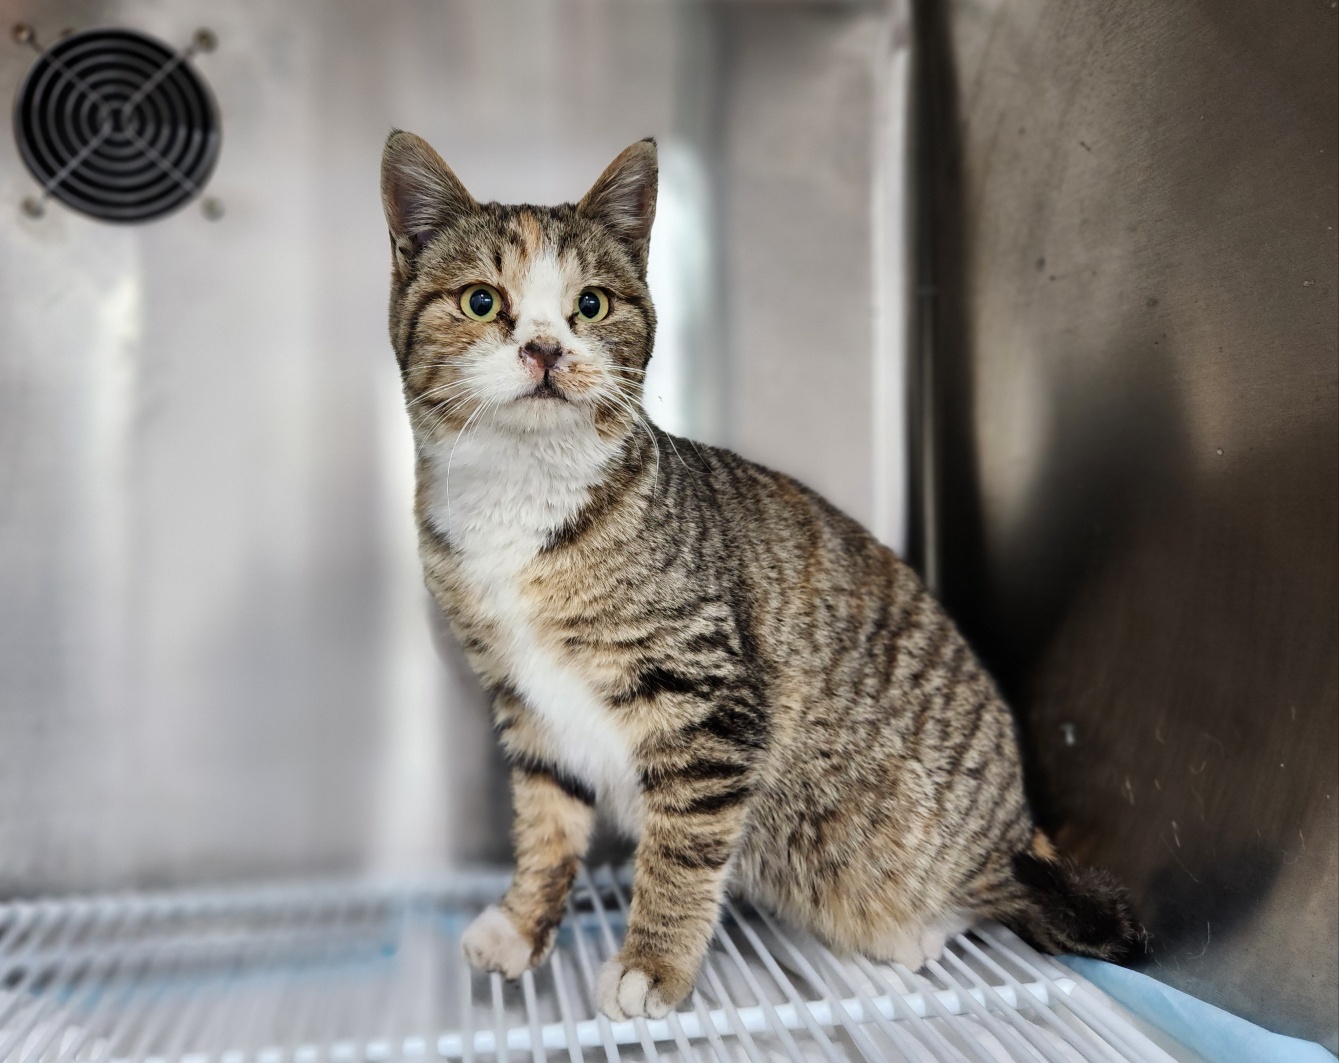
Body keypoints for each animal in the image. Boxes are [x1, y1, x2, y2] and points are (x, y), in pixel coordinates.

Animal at [380, 132, 1140, 1017]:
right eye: (479, 301)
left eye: (591, 306)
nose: (544, 348)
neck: (521, 496)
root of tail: (1018, 827)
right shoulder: (526, 703)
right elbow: (546, 820)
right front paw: (523, 919)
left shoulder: (704, 701)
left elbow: (681, 850)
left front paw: (654, 963)